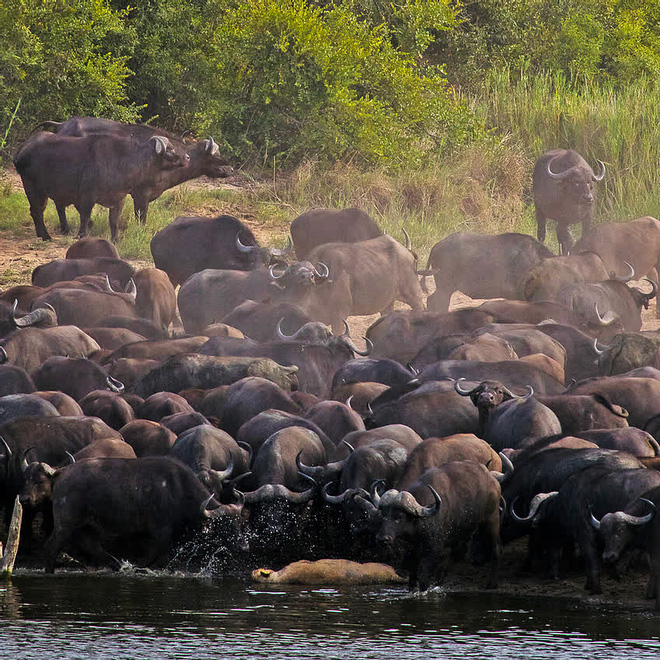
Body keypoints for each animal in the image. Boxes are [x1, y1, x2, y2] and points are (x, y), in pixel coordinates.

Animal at [13, 130, 188, 241]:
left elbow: (114, 221)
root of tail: (22, 149)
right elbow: (85, 216)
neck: (121, 162)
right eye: (170, 150)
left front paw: (115, 238)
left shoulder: (119, 198)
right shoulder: (87, 195)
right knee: (37, 211)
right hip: (33, 188)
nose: (187, 157)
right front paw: (81, 235)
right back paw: (46, 236)